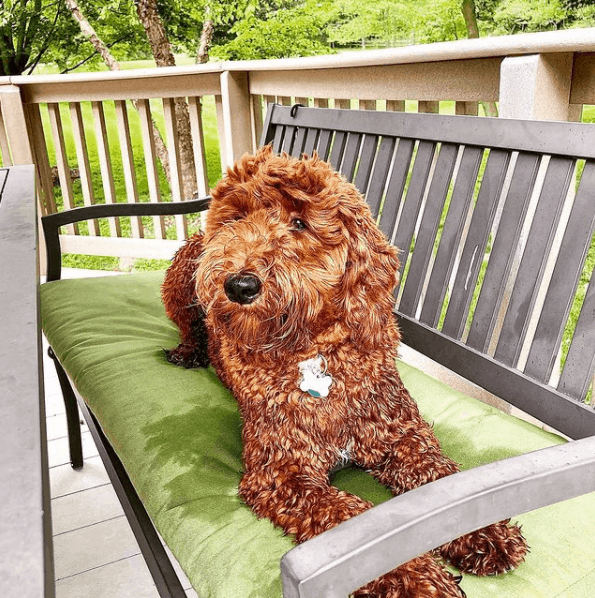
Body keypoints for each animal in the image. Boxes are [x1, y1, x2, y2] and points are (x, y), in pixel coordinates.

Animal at [162, 146, 528, 598]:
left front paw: (485, 531)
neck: (316, 355)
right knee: (188, 327)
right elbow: (353, 520)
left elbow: (439, 478)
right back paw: (188, 351)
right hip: (181, 278)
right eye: (235, 219)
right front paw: (415, 581)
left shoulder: (401, 433)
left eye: (299, 222)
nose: (239, 286)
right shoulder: (281, 473)